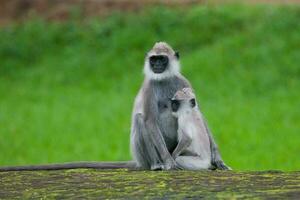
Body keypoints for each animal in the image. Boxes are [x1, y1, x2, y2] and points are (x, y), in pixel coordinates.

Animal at [130, 42, 229, 170]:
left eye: (162, 59)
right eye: (154, 59)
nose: (157, 65)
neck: (164, 79)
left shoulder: (183, 81)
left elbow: (198, 113)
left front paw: (217, 158)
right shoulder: (148, 87)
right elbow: (150, 121)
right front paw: (169, 161)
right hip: (144, 158)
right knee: (140, 119)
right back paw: (156, 164)